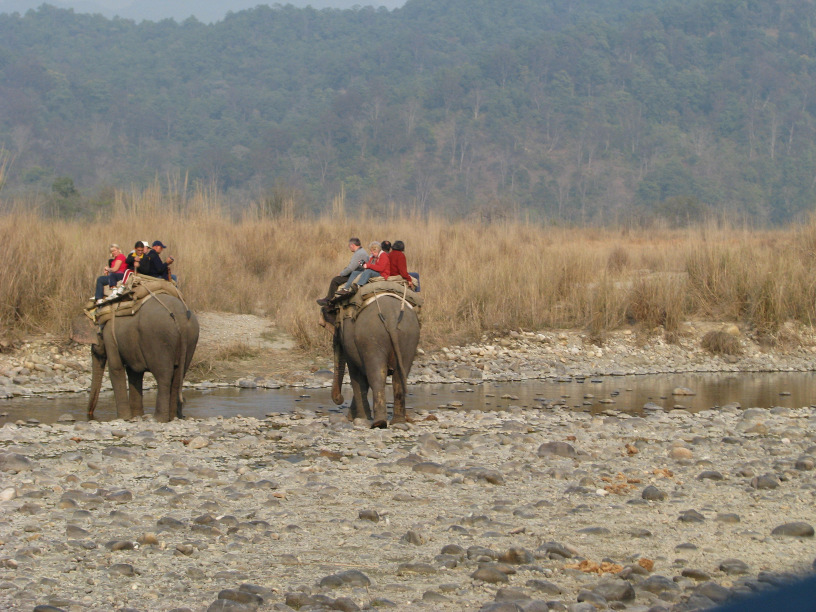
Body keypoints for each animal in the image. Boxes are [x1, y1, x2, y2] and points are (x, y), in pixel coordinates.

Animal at [330, 292, 420, 428]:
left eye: (336, 326)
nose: (340, 398)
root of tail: (391, 319)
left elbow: (357, 377)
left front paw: (361, 418)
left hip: (371, 338)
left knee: (377, 376)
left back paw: (379, 423)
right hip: (408, 337)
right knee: (398, 377)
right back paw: (397, 421)